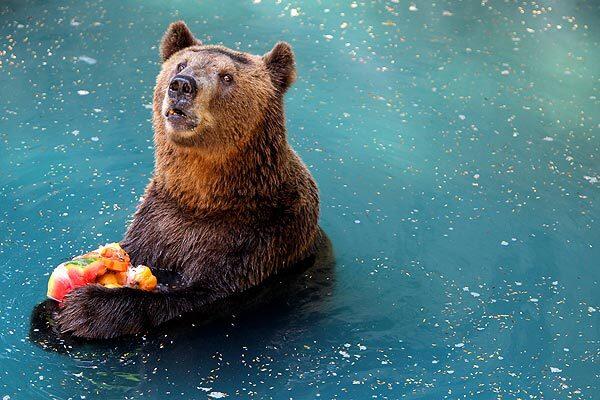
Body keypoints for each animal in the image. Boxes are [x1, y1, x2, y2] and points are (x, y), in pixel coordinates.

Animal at [56, 19, 324, 338]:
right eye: (181, 64)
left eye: (226, 76)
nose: (182, 85)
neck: (204, 199)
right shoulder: (158, 221)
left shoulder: (262, 236)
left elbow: (203, 294)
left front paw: (86, 309)